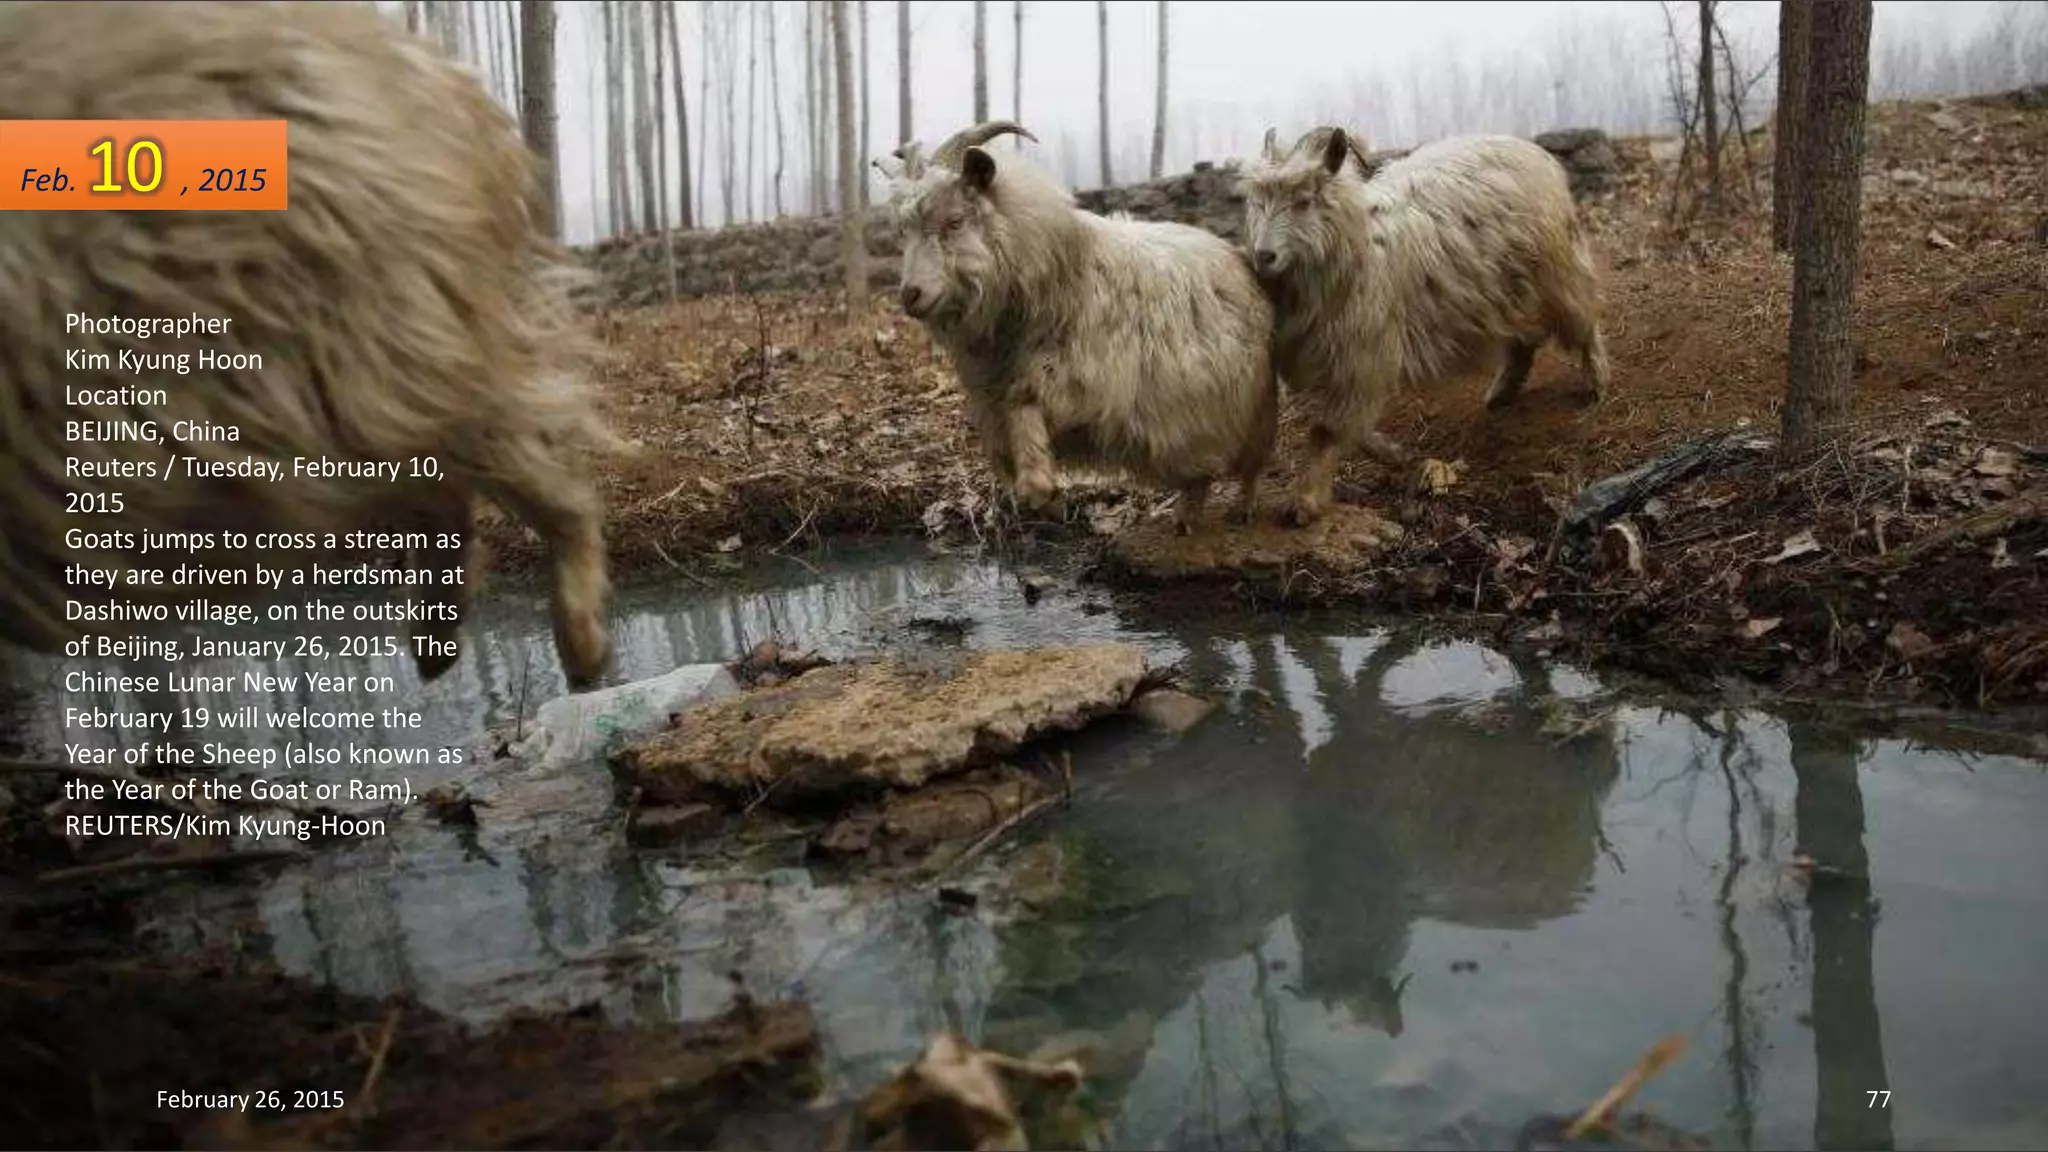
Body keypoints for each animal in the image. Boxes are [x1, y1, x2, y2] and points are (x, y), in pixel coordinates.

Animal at [875, 121, 1280, 534]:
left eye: (954, 221)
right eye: (903, 231)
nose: (911, 294)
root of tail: (1235, 254)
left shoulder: (1075, 379)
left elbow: (1025, 406)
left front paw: (1040, 488)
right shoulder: (994, 394)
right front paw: (1042, 495)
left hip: (1250, 408)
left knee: (1249, 466)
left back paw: (1241, 509)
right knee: (1197, 474)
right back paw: (1187, 517)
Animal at [1239, 125, 1612, 525]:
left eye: (1305, 201)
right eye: (1257, 203)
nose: (1264, 256)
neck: (1357, 244)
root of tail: (1527, 148)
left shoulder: (1361, 356)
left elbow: (1326, 431)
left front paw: (1305, 501)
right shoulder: (1338, 361)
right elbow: (1347, 426)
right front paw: (1390, 452)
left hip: (1558, 274)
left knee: (1583, 324)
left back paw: (1596, 383)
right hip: (1509, 291)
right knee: (1522, 341)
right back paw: (1502, 392)